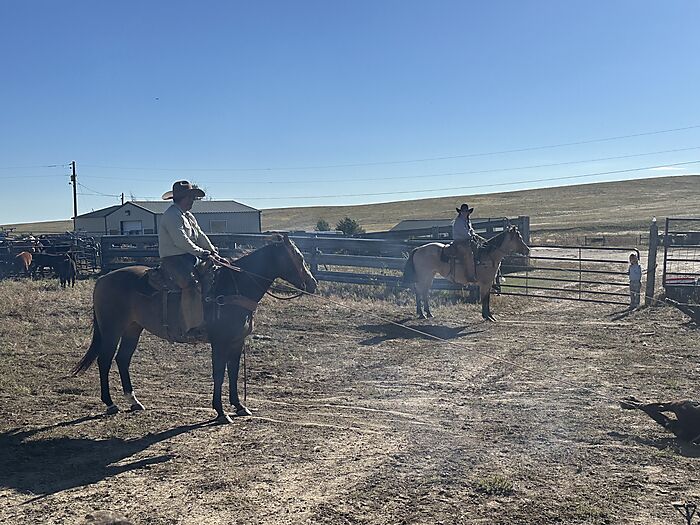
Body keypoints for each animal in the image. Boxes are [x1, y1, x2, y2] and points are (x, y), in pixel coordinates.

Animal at [73, 234, 318, 423]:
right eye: (299, 257)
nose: (313, 284)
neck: (232, 287)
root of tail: (103, 279)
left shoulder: (236, 341)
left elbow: (233, 372)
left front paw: (239, 406)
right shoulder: (219, 342)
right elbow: (219, 374)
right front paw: (221, 412)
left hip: (133, 329)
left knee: (122, 359)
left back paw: (134, 401)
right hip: (111, 329)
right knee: (104, 361)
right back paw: (110, 403)